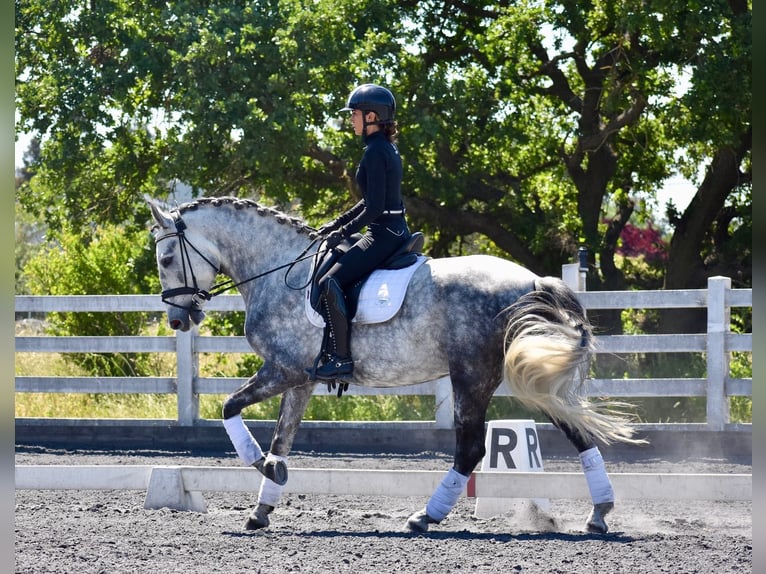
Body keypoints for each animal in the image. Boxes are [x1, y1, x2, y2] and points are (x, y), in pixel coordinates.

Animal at [147, 196, 643, 534]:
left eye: (167, 258)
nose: (177, 320)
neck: (278, 272)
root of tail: (534, 281)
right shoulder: (301, 379)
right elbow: (282, 438)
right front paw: (262, 505)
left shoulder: (283, 369)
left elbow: (230, 408)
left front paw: (263, 467)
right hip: (520, 375)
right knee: (577, 432)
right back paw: (599, 514)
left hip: (472, 377)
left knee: (470, 450)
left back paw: (425, 516)